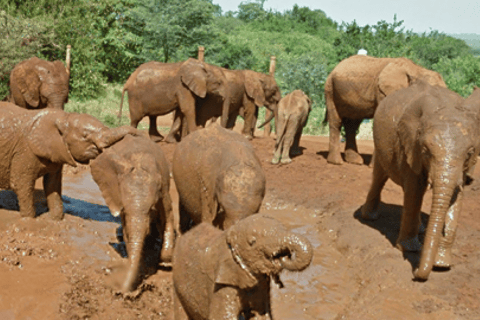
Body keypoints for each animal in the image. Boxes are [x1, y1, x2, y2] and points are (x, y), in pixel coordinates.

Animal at [0, 102, 141, 220]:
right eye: (85, 136)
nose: (132, 168)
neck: (63, 118)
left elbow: (52, 185)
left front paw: (57, 220)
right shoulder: (24, 150)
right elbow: (20, 183)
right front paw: (29, 221)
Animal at [89, 135, 174, 292]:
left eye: (151, 209)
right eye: (124, 209)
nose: (121, 290)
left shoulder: (163, 187)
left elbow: (167, 215)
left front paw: (165, 262)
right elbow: (127, 230)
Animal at [172, 212, 316, 320]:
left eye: (283, 227)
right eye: (252, 242)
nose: (285, 255)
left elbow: (261, 314)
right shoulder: (222, 283)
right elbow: (222, 317)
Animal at [360, 80, 480, 280]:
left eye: (470, 153)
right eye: (425, 151)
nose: (415, 272)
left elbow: (456, 196)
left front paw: (442, 265)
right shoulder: (410, 147)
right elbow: (415, 189)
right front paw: (409, 250)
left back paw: (422, 229)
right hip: (380, 142)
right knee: (379, 177)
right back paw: (369, 217)